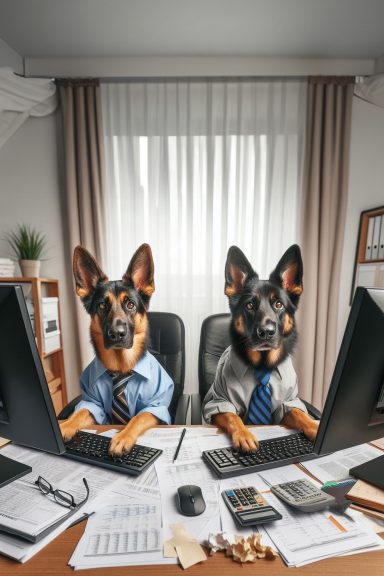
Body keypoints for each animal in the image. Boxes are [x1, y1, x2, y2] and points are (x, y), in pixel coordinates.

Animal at [59, 243, 174, 454]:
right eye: (102, 305)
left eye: (130, 304)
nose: (116, 334)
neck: (121, 367)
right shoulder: (92, 403)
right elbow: (80, 412)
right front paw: (64, 426)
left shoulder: (155, 407)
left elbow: (138, 416)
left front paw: (123, 436)